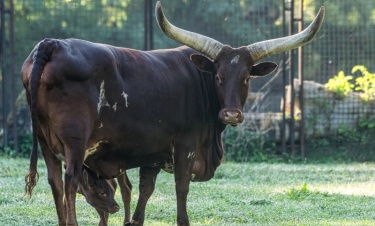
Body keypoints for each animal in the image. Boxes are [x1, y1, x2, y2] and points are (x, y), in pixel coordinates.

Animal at [22, 1, 324, 224]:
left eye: (246, 78)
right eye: (218, 77)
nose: (231, 115)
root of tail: (51, 44)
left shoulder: (152, 155)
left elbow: (144, 195)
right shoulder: (185, 147)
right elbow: (181, 190)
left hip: (46, 142)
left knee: (55, 182)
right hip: (76, 143)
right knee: (71, 182)